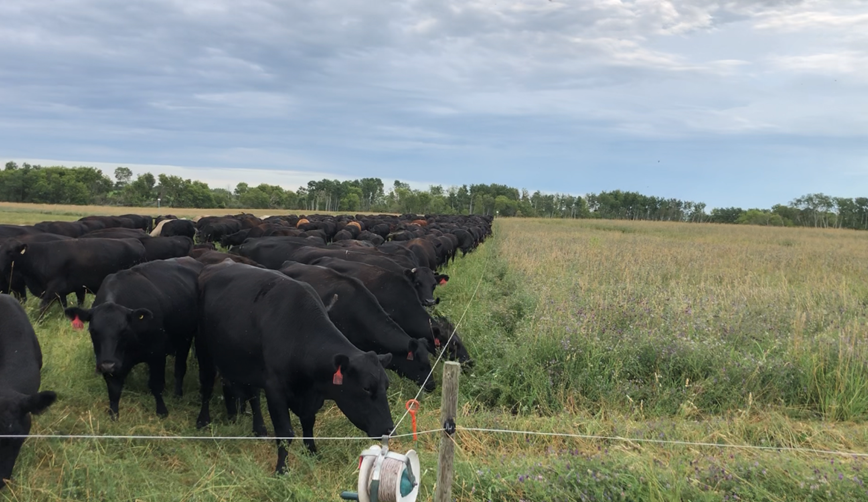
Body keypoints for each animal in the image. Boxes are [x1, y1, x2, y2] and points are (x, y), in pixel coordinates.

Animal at [0, 238, 147, 314]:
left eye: (10, 252)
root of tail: (135, 241)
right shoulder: (62, 292)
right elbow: (65, 306)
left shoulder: (54, 287)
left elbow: (42, 306)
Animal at [64, 258, 203, 419]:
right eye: (93, 331)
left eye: (124, 331)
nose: (107, 365)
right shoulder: (110, 361)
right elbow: (114, 389)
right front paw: (113, 415)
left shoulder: (157, 353)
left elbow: (156, 384)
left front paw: (162, 411)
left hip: (185, 340)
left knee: (179, 369)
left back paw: (177, 395)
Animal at [196, 261, 394, 473]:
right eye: (366, 388)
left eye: (386, 386)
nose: (389, 429)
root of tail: (219, 264)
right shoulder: (275, 389)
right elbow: (285, 432)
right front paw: (282, 469)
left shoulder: (309, 397)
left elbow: (308, 423)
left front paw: (312, 452)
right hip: (203, 348)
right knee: (207, 385)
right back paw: (203, 421)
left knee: (253, 394)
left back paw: (258, 428)